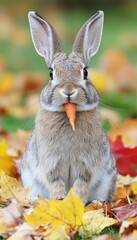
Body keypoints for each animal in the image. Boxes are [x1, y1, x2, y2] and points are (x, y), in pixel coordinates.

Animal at [21, 10, 116, 203]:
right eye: (51, 73)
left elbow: (81, 183)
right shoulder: (50, 165)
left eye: (85, 72)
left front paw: (76, 201)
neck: (68, 116)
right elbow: (55, 182)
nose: (69, 91)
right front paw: (59, 201)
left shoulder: (85, 165)